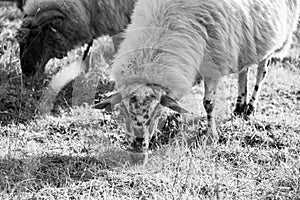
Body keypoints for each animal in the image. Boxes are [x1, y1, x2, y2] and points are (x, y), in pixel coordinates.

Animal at [96, 0, 300, 154]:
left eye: (157, 111)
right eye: (123, 112)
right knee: (244, 71)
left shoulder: (213, 67)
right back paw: (239, 107)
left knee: (261, 72)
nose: (138, 145)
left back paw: (250, 108)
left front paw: (211, 136)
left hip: (274, 39)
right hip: (247, 43)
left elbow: (208, 103)